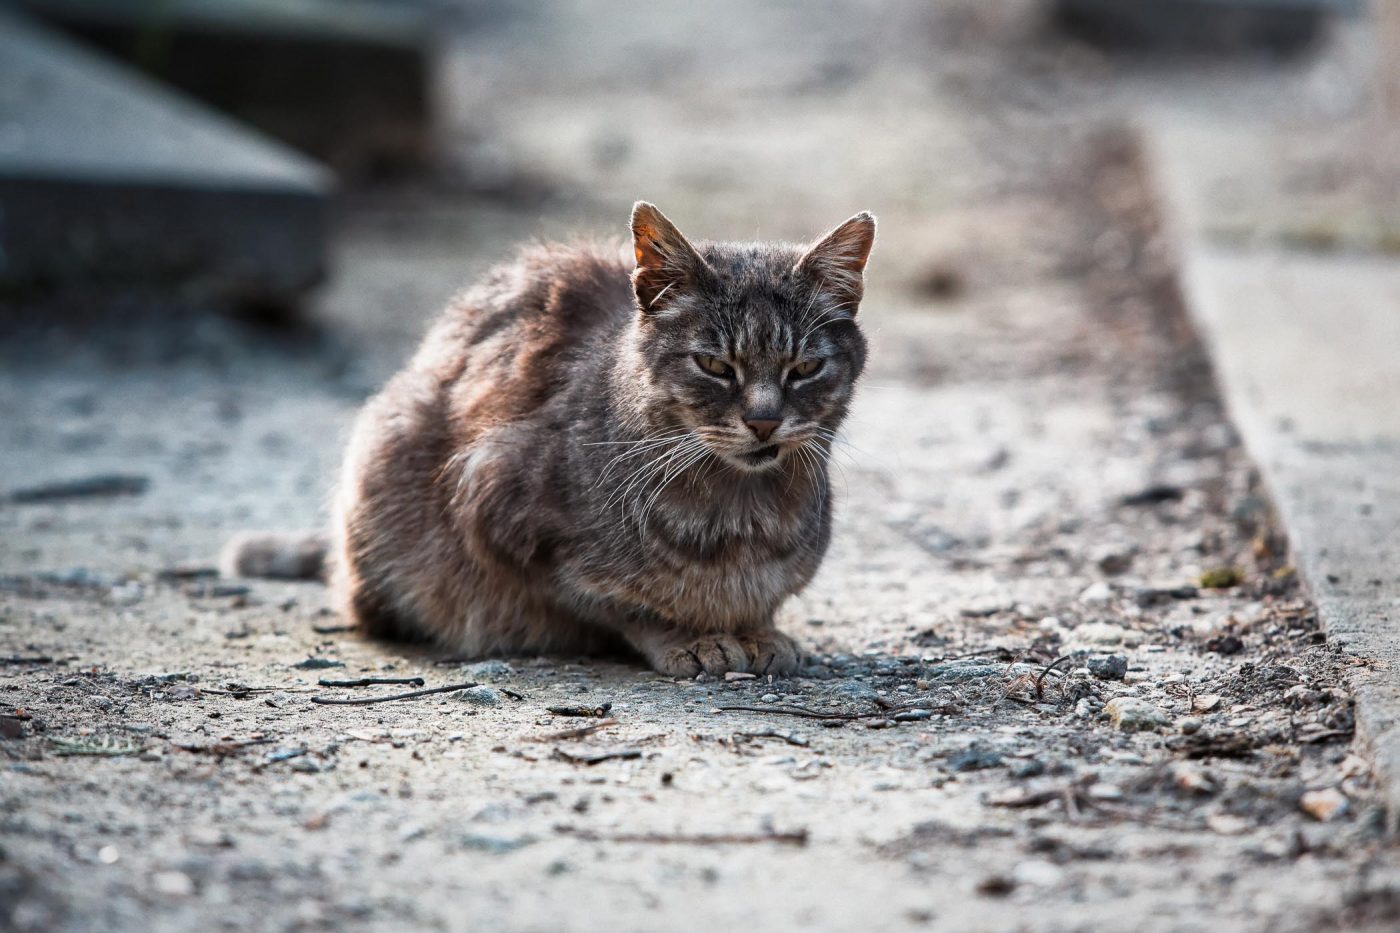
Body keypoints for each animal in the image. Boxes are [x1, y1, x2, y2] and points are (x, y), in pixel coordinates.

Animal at [222, 201, 868, 675]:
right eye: (714, 365)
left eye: (805, 369)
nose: (764, 420)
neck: (739, 516)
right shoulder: (497, 507)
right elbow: (616, 604)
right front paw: (688, 635)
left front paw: (759, 629)